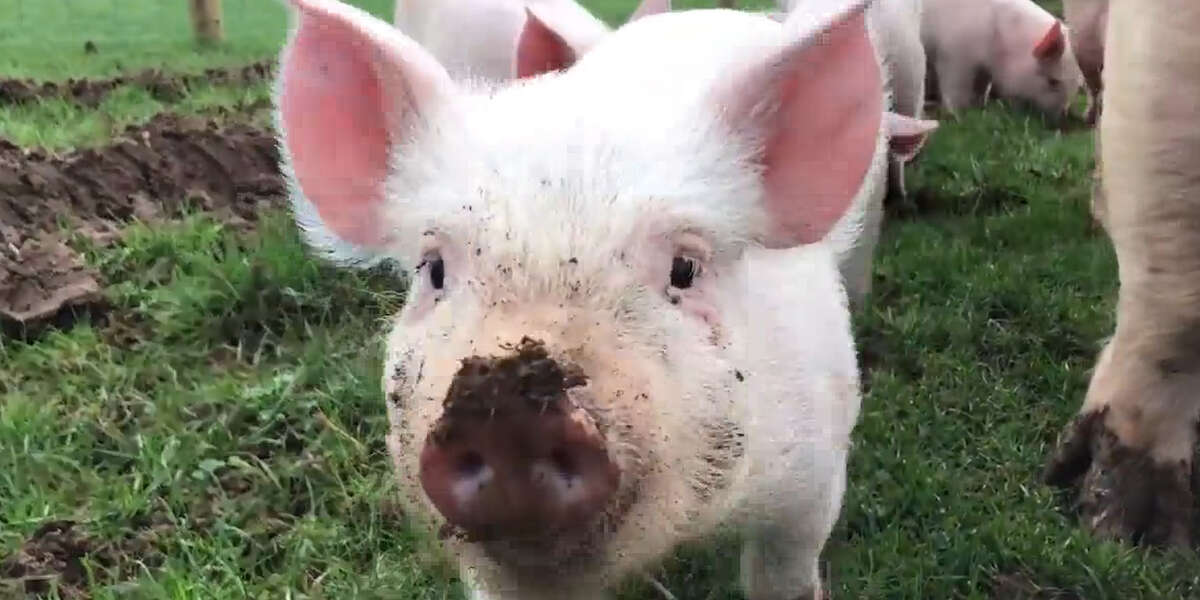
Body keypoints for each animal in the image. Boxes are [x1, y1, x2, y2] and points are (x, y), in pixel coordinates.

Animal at [921, 0, 1084, 121]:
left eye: (1076, 85)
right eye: (1053, 81)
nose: (1062, 120)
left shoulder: (983, 70)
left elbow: (980, 89)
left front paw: (979, 108)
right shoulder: (953, 56)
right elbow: (955, 89)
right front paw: (959, 116)